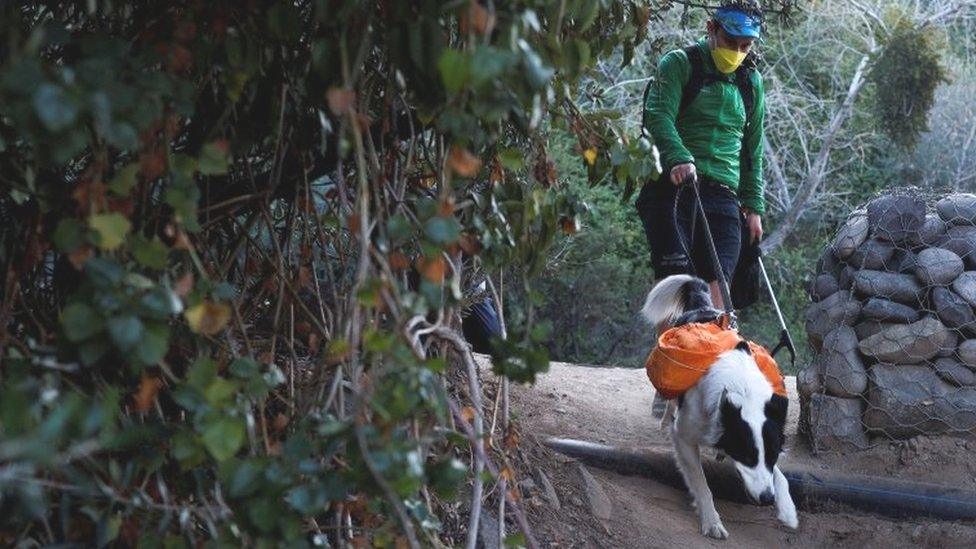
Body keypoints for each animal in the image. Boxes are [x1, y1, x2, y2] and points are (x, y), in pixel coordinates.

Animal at [644, 272, 796, 536]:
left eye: (773, 454)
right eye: (747, 456)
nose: (767, 498)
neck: (741, 390)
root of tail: (703, 307)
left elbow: (780, 475)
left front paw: (788, 510)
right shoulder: (684, 436)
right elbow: (701, 483)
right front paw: (711, 521)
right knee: (670, 402)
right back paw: (664, 421)